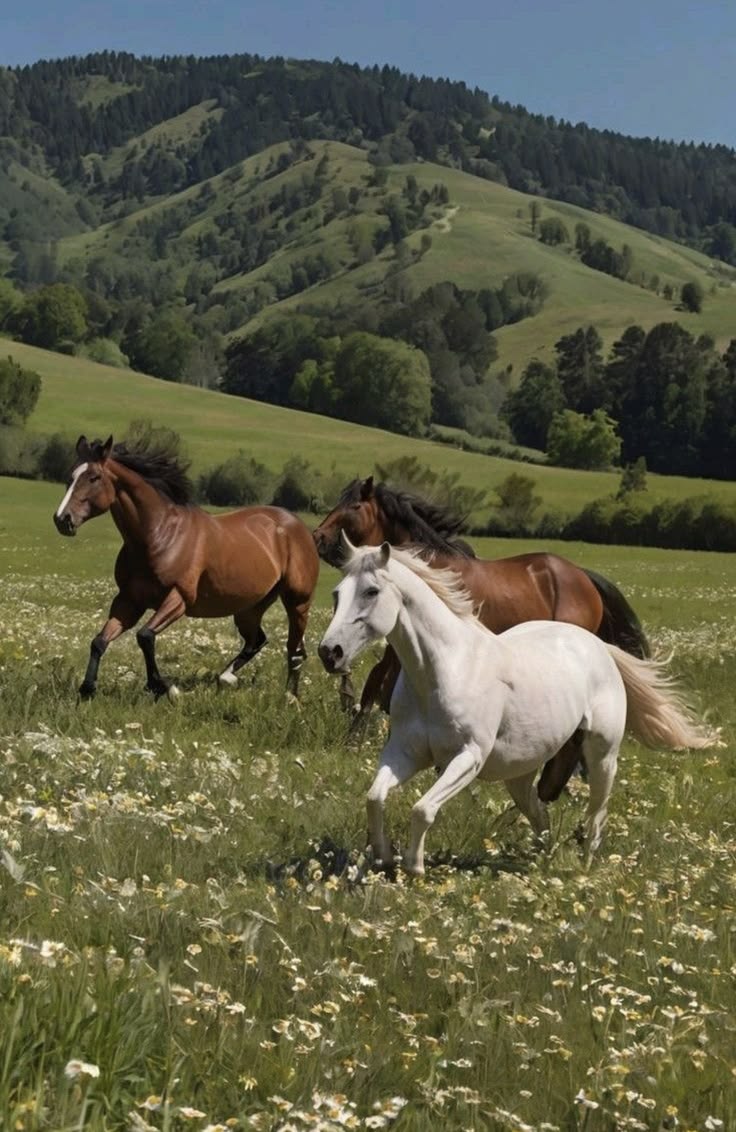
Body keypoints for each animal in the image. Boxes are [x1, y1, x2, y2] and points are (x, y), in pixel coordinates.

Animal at [53, 435, 320, 700]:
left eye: (94, 477)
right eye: (71, 476)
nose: (62, 520)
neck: (160, 536)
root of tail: (301, 528)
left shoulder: (179, 597)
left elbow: (145, 636)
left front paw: (164, 687)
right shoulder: (129, 600)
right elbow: (99, 641)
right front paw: (87, 689)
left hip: (297, 602)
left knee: (295, 650)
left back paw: (290, 697)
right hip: (249, 607)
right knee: (257, 640)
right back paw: (226, 677)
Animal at [313, 476, 650, 800]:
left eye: (355, 505)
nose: (318, 537)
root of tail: (584, 577)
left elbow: (376, 682)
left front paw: (354, 739)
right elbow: (378, 684)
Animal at [318, 539, 717, 875]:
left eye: (371, 591)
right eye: (337, 594)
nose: (330, 653)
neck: (443, 671)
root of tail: (597, 645)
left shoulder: (467, 758)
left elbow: (423, 809)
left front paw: (414, 866)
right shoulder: (405, 753)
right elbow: (375, 798)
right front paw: (383, 856)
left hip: (602, 754)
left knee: (596, 813)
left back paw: (584, 864)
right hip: (520, 773)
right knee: (540, 814)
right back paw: (541, 858)